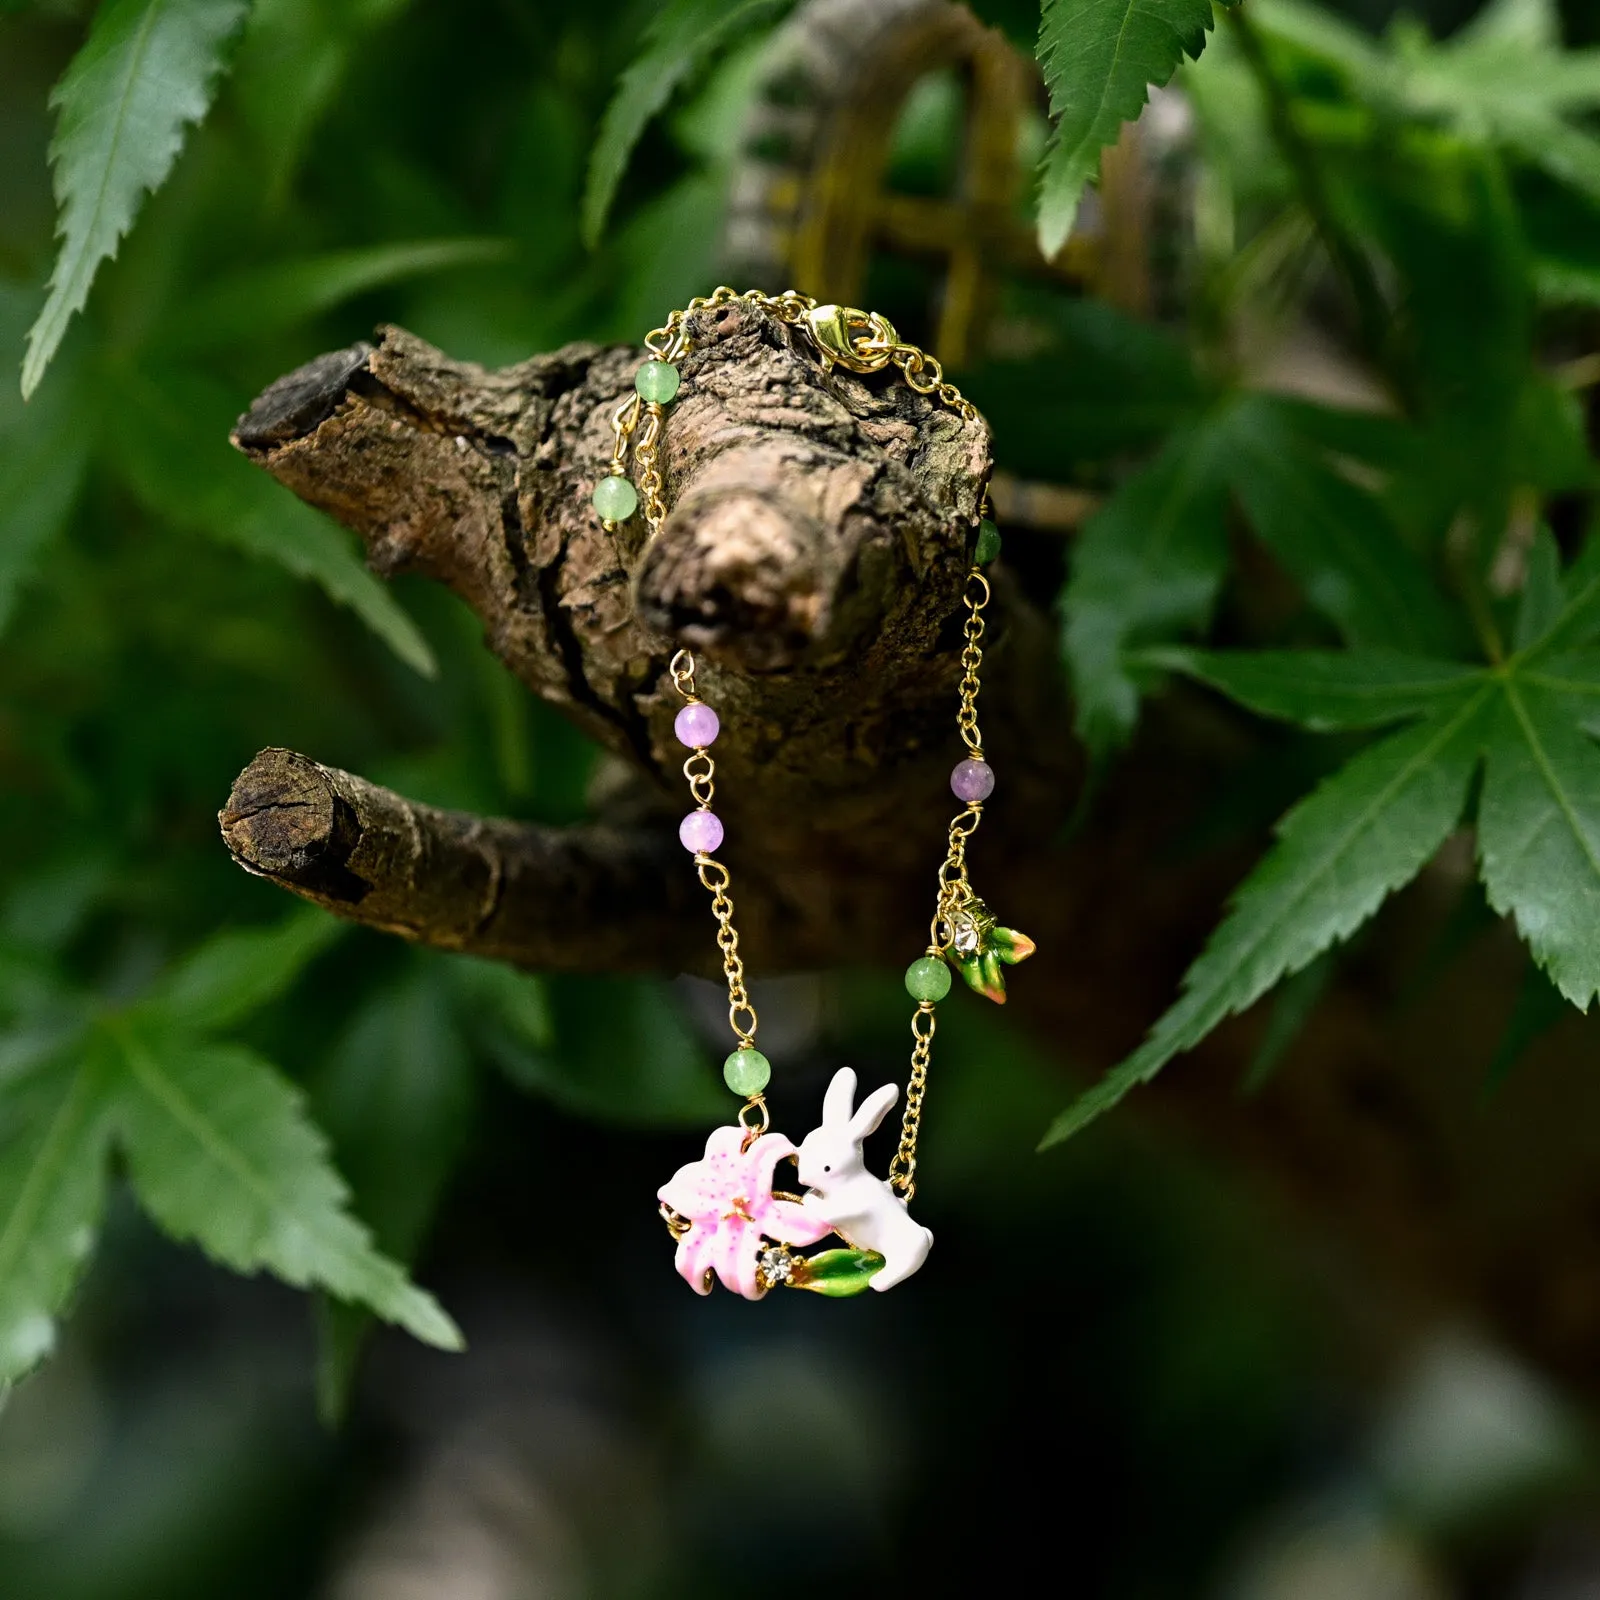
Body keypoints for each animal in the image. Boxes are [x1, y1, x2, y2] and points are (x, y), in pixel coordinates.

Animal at [796, 1067, 933, 1291]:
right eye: (802, 1151)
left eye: (827, 1168)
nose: (802, 1179)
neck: (848, 1180)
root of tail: (926, 1238)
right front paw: (812, 1192)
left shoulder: (850, 1206)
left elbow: (828, 1212)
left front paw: (810, 1198)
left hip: (904, 1254)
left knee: (900, 1269)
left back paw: (879, 1281)